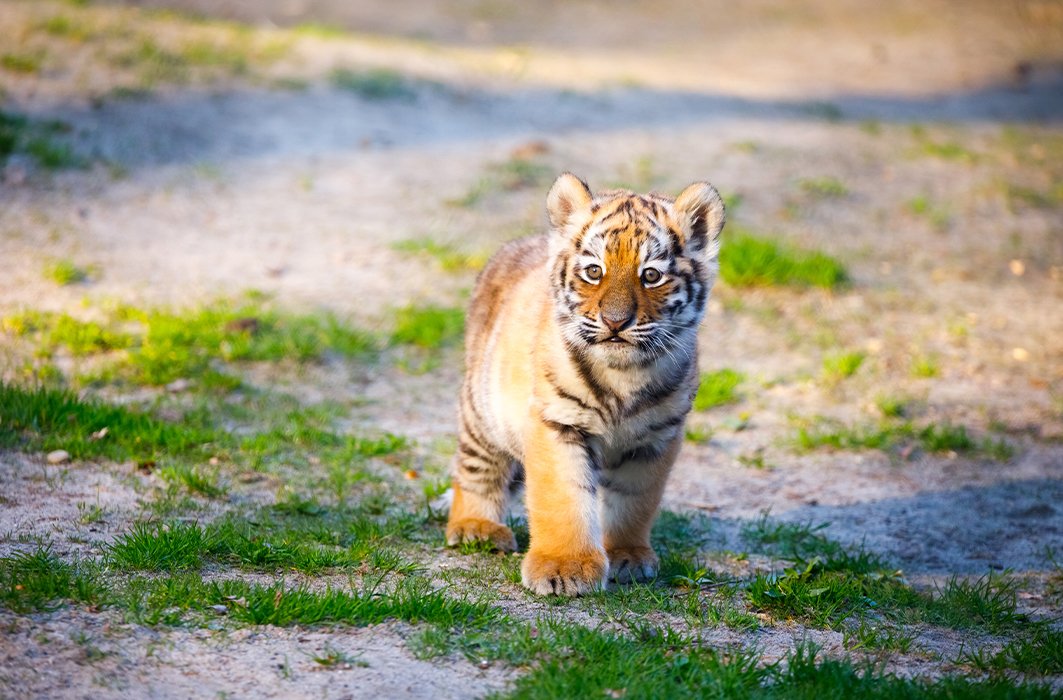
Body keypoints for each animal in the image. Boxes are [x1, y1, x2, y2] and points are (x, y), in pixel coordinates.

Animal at [445, 172, 726, 595]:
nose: (615, 321)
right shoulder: (557, 423)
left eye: (651, 275)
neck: (624, 375)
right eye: (594, 271)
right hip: (483, 413)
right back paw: (476, 527)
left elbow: (634, 501)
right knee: (476, 470)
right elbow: (564, 498)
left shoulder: (656, 439)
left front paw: (627, 555)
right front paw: (564, 568)